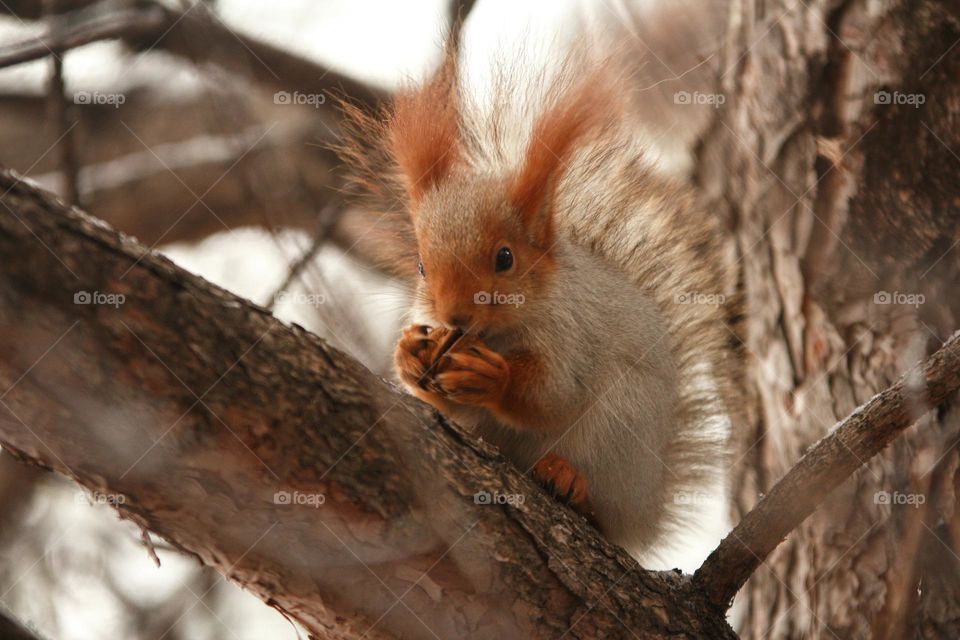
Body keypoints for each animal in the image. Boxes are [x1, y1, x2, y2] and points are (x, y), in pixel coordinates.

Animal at [336, 41, 742, 560]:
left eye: (505, 258)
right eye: (422, 267)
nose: (454, 315)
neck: (496, 333)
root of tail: (645, 514)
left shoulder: (573, 333)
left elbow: (553, 393)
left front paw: (494, 377)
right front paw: (409, 354)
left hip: (620, 425)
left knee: (599, 503)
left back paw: (569, 479)